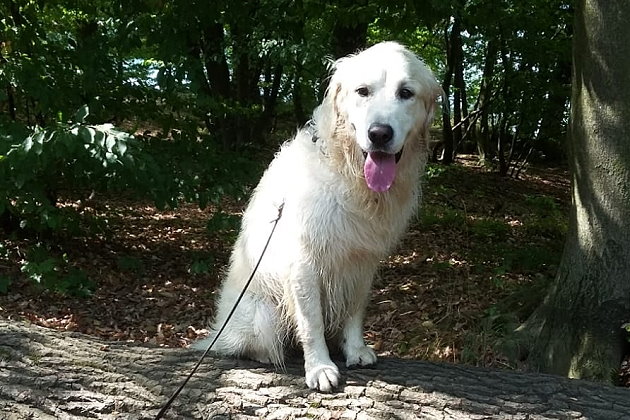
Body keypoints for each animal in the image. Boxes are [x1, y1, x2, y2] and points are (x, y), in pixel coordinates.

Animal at [194, 41, 442, 392]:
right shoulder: (303, 262)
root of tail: (220, 333)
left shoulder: (362, 262)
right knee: (251, 345)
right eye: (362, 91)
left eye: (406, 93)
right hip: (262, 312)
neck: (349, 173)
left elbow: (354, 310)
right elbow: (312, 323)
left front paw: (355, 349)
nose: (379, 134)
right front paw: (320, 367)